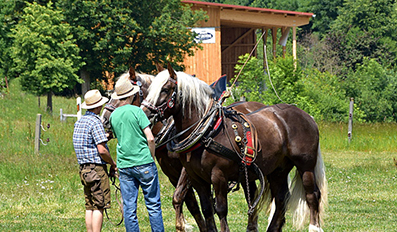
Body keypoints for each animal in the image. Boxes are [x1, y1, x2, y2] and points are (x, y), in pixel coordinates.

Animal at [100, 67, 204, 230]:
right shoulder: (172, 172)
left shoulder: (187, 170)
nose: (104, 119)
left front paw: (181, 225)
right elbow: (191, 204)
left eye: (124, 97)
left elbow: (178, 197)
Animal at [141, 65, 326, 232]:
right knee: (281, 199)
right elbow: (206, 209)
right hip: (277, 170)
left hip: (305, 165)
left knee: (312, 195)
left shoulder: (218, 175)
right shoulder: (196, 178)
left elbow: (220, 209)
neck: (208, 131)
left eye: (165, 89)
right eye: (149, 90)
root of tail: (307, 115)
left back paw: (314, 227)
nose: (145, 113)